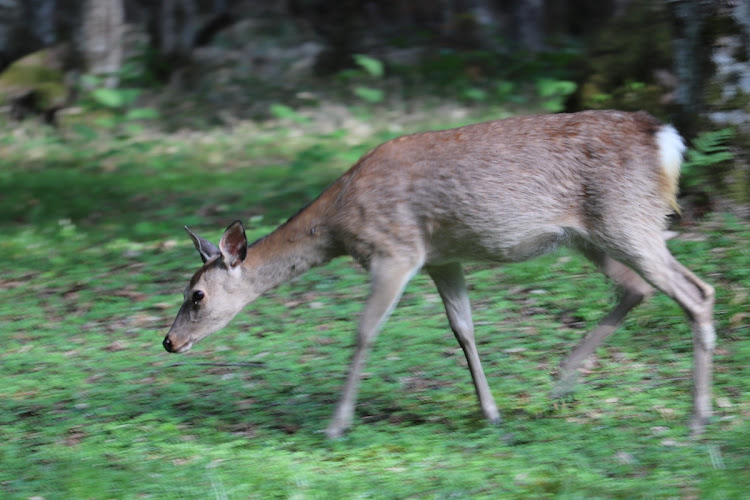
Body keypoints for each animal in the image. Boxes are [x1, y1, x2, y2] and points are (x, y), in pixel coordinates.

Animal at [163, 110, 716, 438]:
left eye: (197, 295)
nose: (168, 341)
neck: (339, 223)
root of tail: (666, 140)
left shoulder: (396, 251)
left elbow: (364, 331)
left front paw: (336, 425)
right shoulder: (442, 258)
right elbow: (463, 330)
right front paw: (491, 413)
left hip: (628, 220)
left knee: (697, 291)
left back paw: (696, 419)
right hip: (592, 236)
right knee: (636, 289)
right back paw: (560, 385)